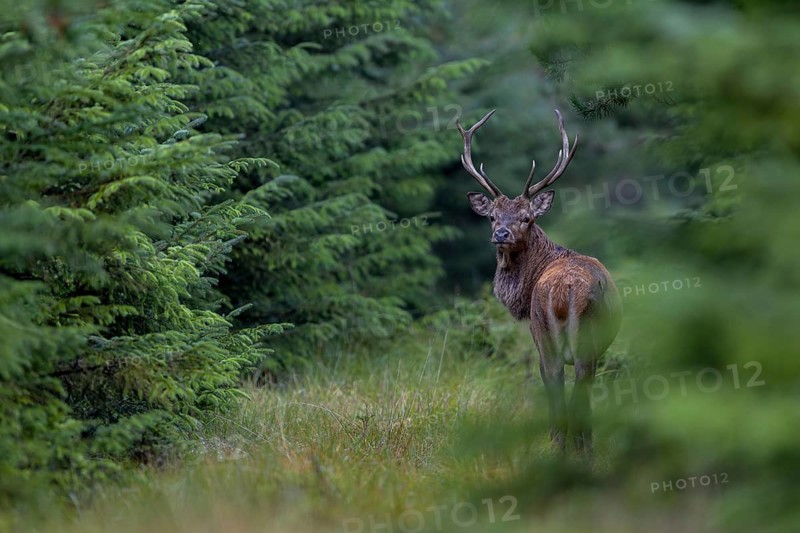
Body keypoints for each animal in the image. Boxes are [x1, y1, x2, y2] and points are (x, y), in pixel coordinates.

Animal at [457, 109, 622, 455]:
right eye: (492, 216)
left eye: (526, 217)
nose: (501, 234)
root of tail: (564, 291)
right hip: (570, 337)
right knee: (569, 384)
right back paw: (574, 448)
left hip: (553, 335)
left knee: (561, 384)